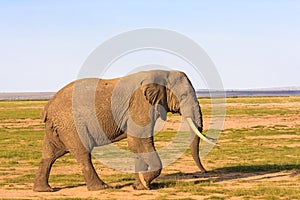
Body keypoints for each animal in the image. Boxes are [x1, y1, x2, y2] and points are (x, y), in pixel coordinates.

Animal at [33, 69, 216, 191]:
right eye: (183, 96)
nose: (204, 171)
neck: (161, 73)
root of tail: (47, 107)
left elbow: (138, 145)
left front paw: (139, 186)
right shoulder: (140, 104)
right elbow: (139, 142)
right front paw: (144, 183)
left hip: (58, 126)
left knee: (50, 155)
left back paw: (44, 190)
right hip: (71, 124)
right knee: (83, 154)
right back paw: (101, 188)